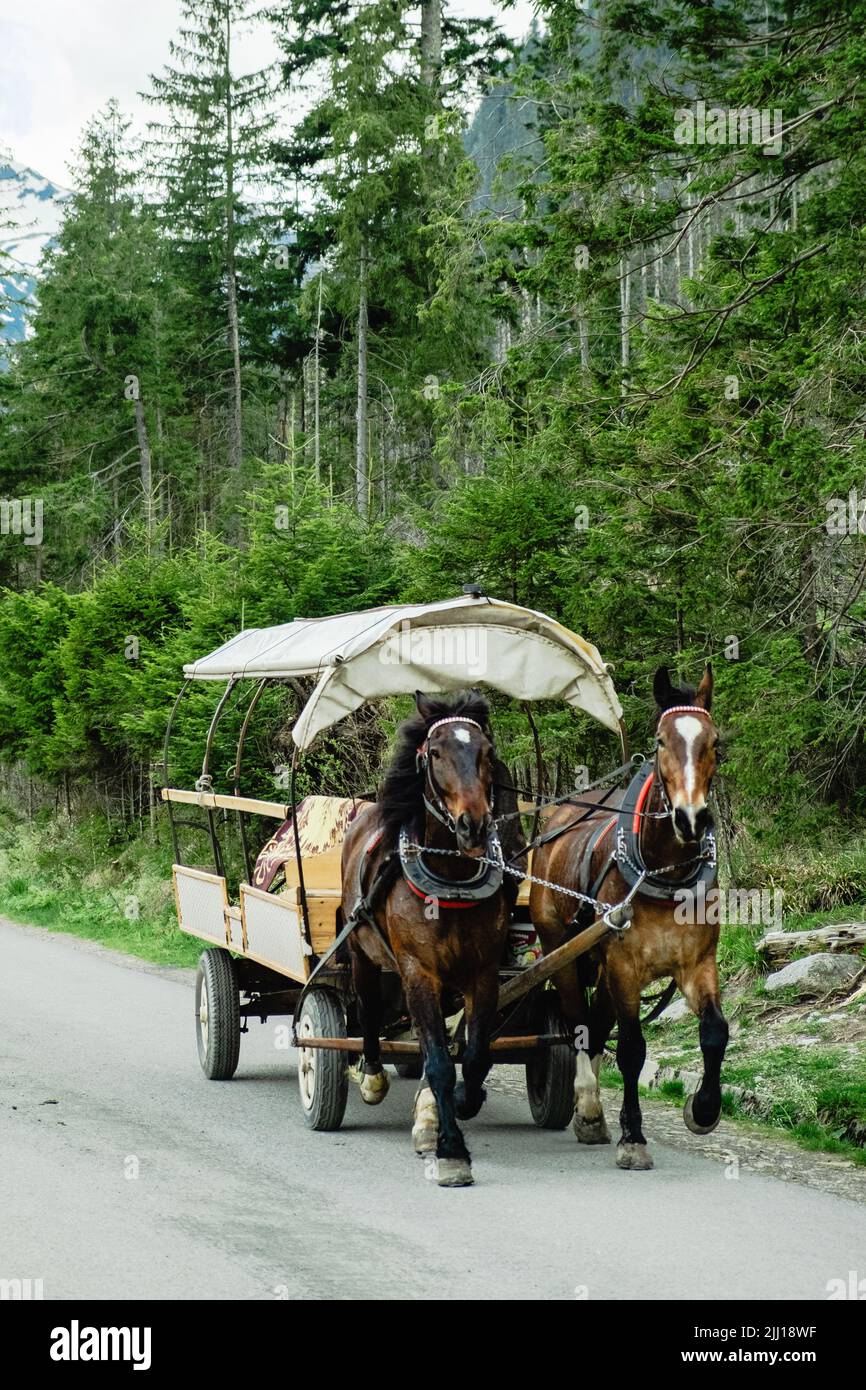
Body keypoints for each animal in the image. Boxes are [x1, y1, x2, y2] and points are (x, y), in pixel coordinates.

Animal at [340, 689, 520, 1187]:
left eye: (487, 752)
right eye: (435, 753)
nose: (473, 824)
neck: (450, 877)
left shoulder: (482, 973)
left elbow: (473, 1056)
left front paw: (460, 1102)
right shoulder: (418, 971)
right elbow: (439, 1061)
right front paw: (451, 1150)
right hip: (361, 954)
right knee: (366, 1011)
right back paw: (372, 1076)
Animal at [529, 664, 728, 1170]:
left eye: (714, 741)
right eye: (660, 740)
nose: (691, 818)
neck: (665, 874)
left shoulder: (697, 963)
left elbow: (715, 1032)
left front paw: (703, 1109)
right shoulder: (624, 966)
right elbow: (633, 1050)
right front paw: (633, 1137)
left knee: (597, 1026)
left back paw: (592, 1113)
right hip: (561, 951)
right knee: (579, 1024)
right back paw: (587, 1106)